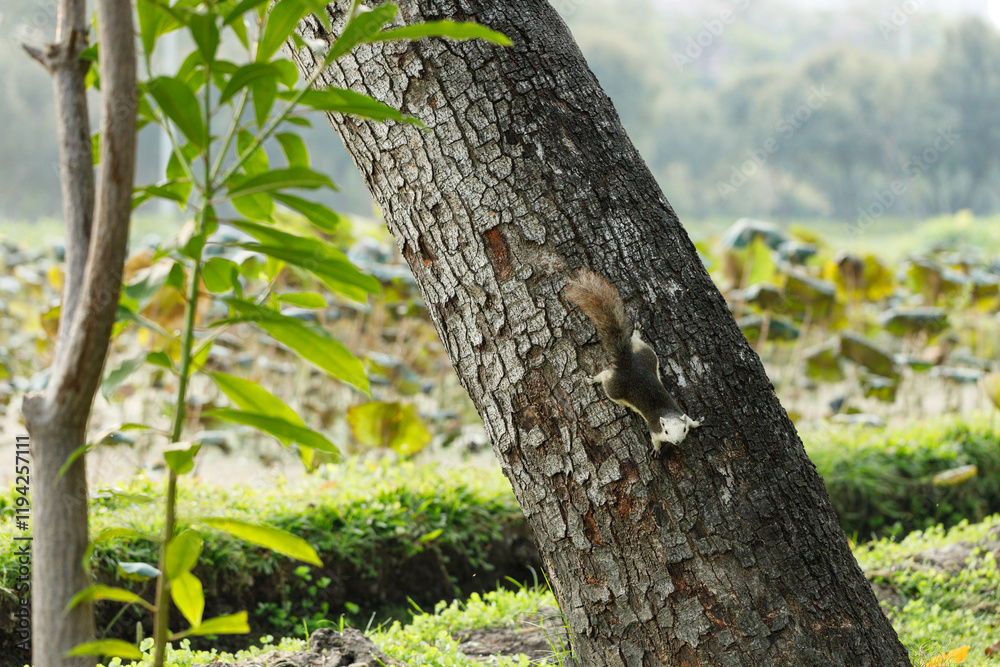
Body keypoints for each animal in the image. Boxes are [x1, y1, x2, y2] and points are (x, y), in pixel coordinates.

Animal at [564, 269, 703, 452]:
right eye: (666, 431)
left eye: (684, 429)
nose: (677, 442)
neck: (667, 413)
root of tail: (628, 362)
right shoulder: (654, 430)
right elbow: (655, 440)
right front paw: (656, 450)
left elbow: (692, 420)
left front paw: (697, 422)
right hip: (614, 389)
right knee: (606, 377)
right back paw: (593, 379)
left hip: (647, 355)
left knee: (636, 343)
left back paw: (636, 332)